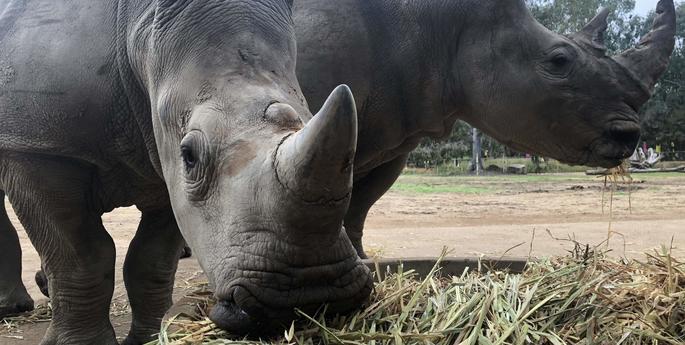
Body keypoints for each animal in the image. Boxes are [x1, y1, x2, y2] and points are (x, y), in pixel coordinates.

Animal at [0, 0, 372, 344]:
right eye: (190, 156)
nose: (310, 295)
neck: (141, 35)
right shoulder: (39, 149)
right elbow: (81, 258)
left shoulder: (165, 168)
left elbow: (152, 260)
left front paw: (150, 338)